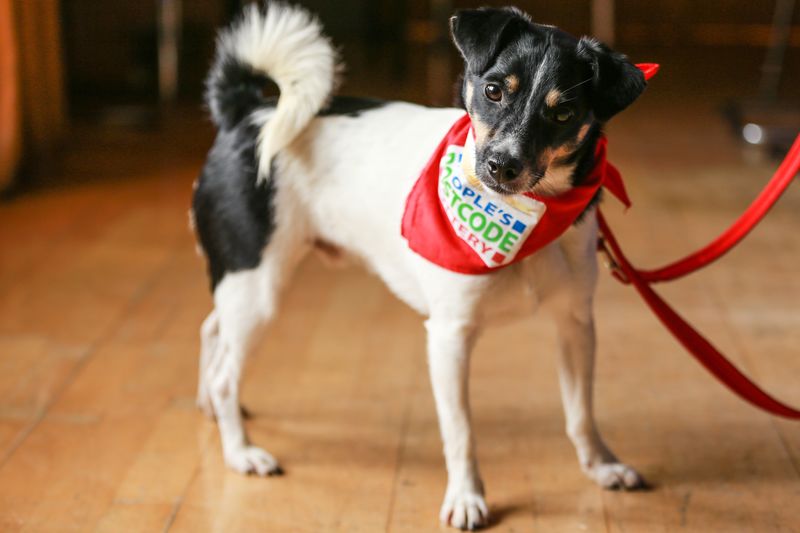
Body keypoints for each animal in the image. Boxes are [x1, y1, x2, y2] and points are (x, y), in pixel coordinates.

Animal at [192, 3, 648, 528]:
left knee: (213, 332)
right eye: (493, 91)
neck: (531, 214)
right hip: (258, 286)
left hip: (244, 282)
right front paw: (466, 498)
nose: (500, 165)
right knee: (226, 371)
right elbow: (461, 432)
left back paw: (212, 409)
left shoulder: (575, 324)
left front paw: (601, 466)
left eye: (563, 113)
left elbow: (581, 413)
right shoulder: (449, 337)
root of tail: (247, 113)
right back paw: (240, 452)